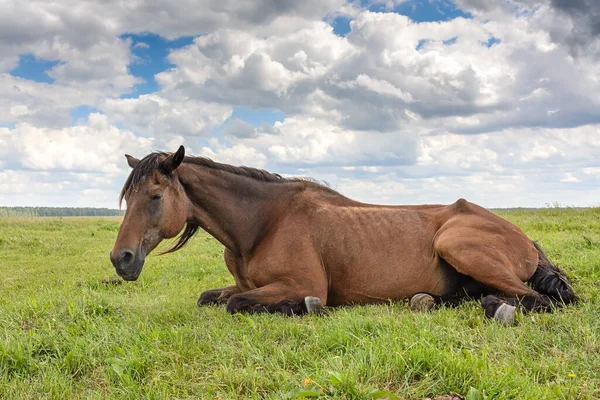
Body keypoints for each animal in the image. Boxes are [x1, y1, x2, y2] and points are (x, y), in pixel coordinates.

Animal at [111, 146, 576, 324]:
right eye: (128, 196)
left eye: (155, 196)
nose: (121, 260)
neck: (264, 223)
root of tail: (525, 238)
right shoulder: (243, 283)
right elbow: (211, 297)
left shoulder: (302, 283)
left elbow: (238, 303)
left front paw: (305, 308)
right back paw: (431, 300)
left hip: (458, 246)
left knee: (538, 300)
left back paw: (498, 308)